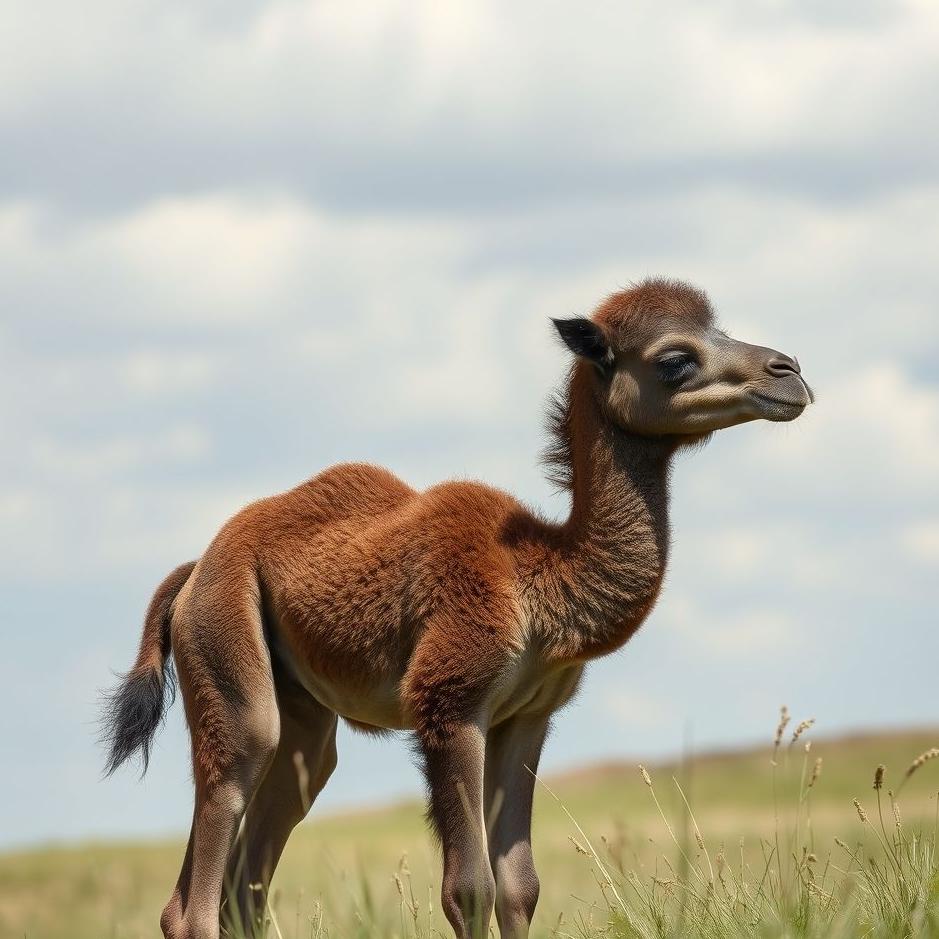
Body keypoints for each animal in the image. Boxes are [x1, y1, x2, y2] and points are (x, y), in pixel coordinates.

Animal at [101, 278, 812, 939]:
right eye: (675, 358)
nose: (790, 373)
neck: (539, 586)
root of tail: (193, 573)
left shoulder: (527, 717)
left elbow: (520, 886)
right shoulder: (450, 702)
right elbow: (469, 888)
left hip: (302, 719)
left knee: (248, 877)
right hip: (228, 653)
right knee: (206, 877)